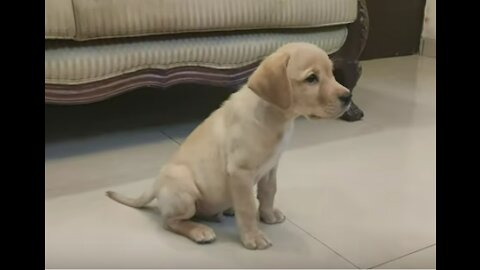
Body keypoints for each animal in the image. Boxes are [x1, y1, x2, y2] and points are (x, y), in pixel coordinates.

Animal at [106, 41, 352, 249]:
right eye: (311, 78)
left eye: (331, 73)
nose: (348, 97)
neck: (275, 116)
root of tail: (155, 185)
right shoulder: (240, 171)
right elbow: (247, 206)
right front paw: (253, 237)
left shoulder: (271, 167)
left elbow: (268, 192)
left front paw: (268, 215)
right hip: (184, 188)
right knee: (170, 221)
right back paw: (199, 230)